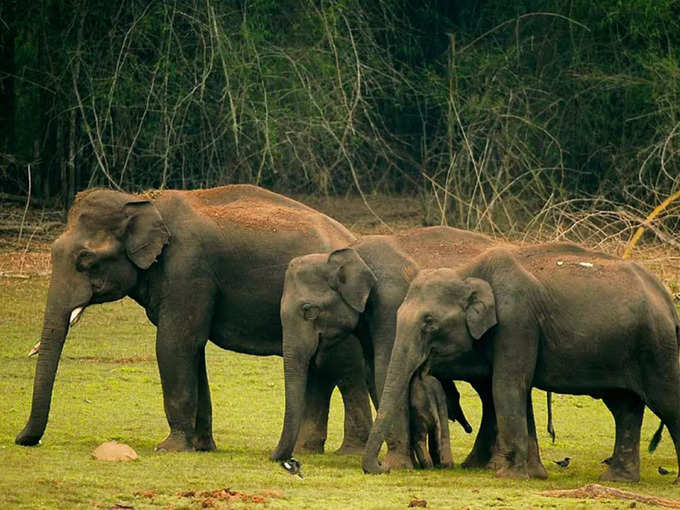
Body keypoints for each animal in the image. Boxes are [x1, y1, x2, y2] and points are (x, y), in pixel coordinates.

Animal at [14, 184, 372, 454]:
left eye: (86, 259)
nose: (23, 440)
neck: (144, 201)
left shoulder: (188, 268)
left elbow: (175, 343)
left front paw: (169, 449)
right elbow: (192, 348)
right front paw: (201, 447)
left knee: (343, 369)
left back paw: (348, 452)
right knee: (321, 371)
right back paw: (306, 450)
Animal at [364, 243, 680, 482]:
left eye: (429, 322)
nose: (382, 468)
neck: (468, 273)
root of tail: (666, 298)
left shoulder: (516, 320)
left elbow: (506, 386)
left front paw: (509, 475)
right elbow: (520, 391)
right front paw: (534, 474)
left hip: (657, 347)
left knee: (666, 401)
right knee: (625, 408)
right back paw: (618, 479)